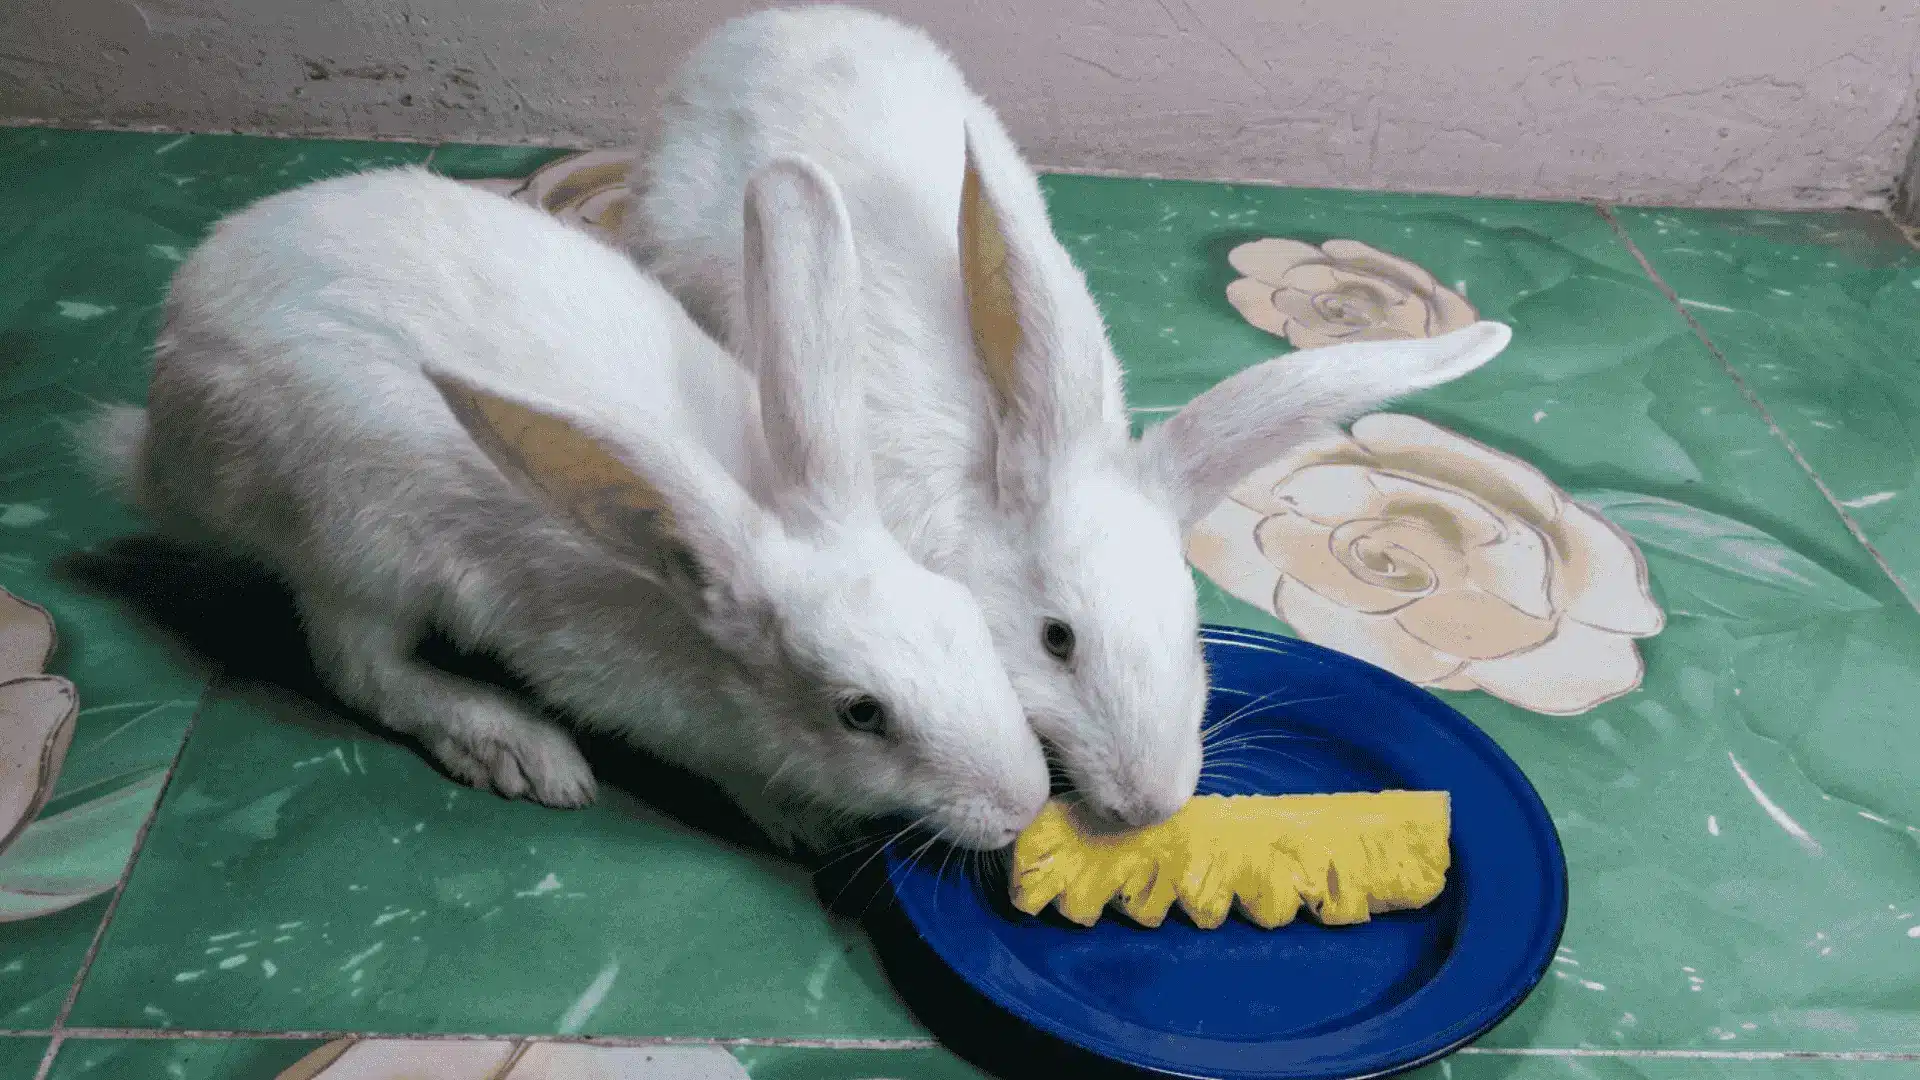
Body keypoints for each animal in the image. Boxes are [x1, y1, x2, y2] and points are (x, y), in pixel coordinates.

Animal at [81, 162, 1051, 854]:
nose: (1026, 802)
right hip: (352, 543)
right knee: (360, 671)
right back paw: (519, 751)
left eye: (964, 617)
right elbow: (726, 765)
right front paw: (803, 823)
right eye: (861, 713)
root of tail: (162, 432)